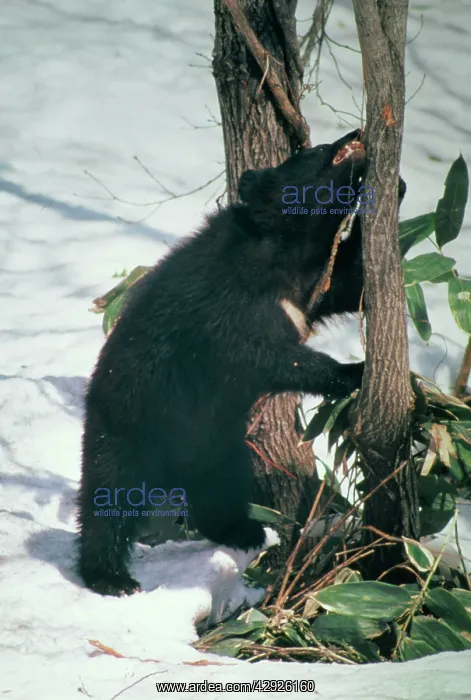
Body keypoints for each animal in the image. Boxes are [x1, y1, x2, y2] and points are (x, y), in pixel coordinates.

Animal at [77, 128, 406, 596]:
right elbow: (264, 356)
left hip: (222, 449)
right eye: (315, 151)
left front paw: (397, 186)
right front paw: (353, 371)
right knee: (108, 499)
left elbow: (352, 282)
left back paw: (244, 530)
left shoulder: (311, 288)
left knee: (218, 495)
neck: (287, 249)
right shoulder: (231, 304)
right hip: (126, 429)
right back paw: (111, 576)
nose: (355, 134)